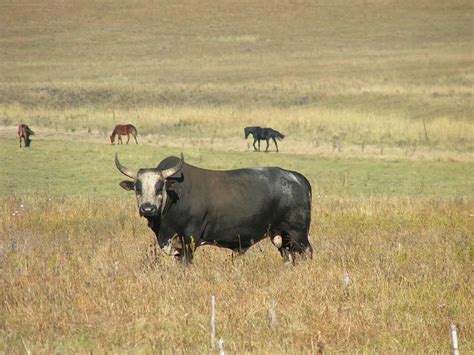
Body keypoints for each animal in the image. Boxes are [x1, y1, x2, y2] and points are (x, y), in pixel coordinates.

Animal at [116, 154, 312, 264]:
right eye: (137, 187)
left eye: (159, 186)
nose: (147, 209)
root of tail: (297, 177)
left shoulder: (189, 240)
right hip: (282, 236)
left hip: (298, 235)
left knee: (307, 253)